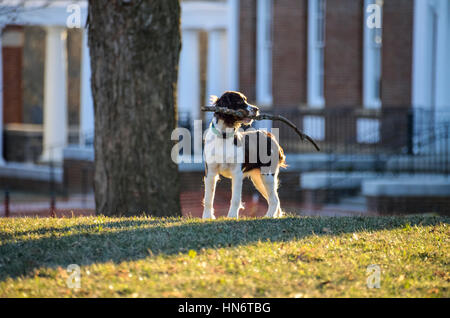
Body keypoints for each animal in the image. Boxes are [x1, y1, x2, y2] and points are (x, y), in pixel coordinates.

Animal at [202, 90, 286, 219]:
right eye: (239, 101)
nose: (256, 109)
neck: (224, 136)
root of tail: (269, 135)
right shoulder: (210, 172)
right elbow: (208, 198)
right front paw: (207, 218)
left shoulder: (237, 173)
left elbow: (235, 199)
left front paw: (231, 217)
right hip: (258, 178)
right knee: (273, 198)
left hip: (267, 175)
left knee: (275, 199)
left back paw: (268, 216)